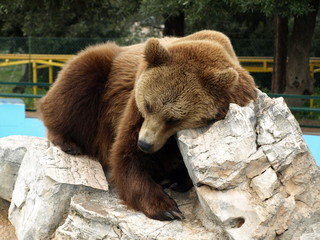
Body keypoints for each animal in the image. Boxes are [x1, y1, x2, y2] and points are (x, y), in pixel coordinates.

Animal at [40, 30, 256, 221]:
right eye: (148, 105)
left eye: (174, 119)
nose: (144, 144)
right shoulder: (134, 107)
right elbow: (126, 158)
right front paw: (166, 208)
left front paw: (174, 179)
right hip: (100, 75)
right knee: (75, 87)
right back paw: (68, 142)